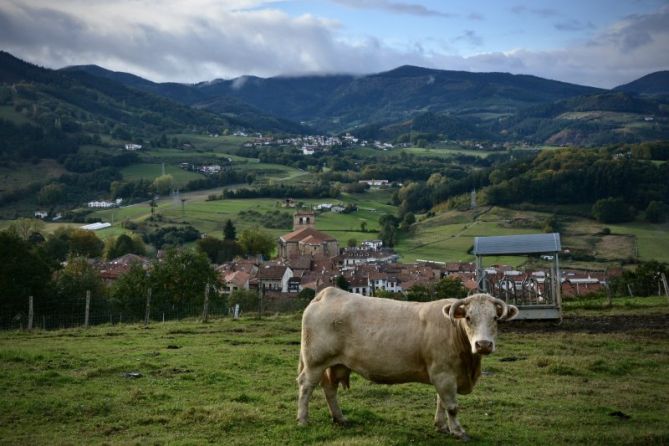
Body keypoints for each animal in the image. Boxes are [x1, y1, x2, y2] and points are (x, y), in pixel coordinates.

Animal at [294, 288, 520, 440]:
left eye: (495, 318)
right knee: (306, 386)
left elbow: (441, 402)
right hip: (315, 361)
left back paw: (340, 418)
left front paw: (441, 426)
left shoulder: (444, 374)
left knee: (329, 389)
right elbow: (452, 406)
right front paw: (458, 431)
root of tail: (328, 293)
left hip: (336, 364)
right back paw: (303, 420)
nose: (483, 344)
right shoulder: (444, 374)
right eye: (468, 317)